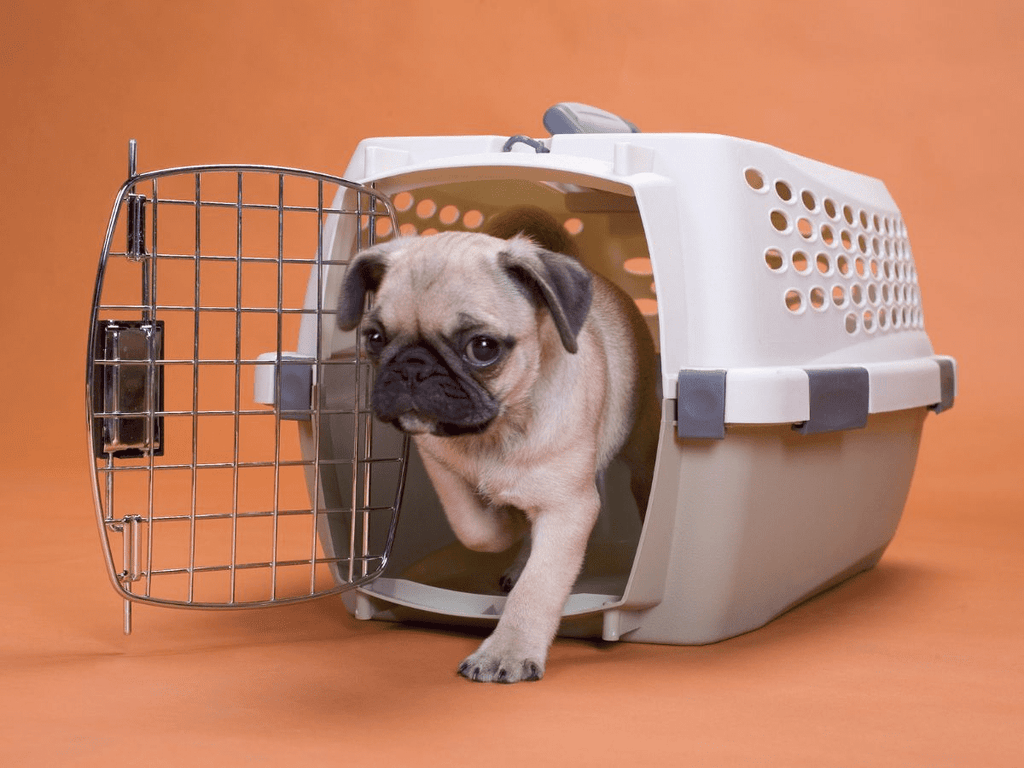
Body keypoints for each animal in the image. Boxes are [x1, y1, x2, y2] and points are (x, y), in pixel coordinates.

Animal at [335, 205, 655, 684]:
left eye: (482, 348)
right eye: (374, 338)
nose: (412, 366)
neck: (494, 431)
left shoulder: (569, 507)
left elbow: (538, 588)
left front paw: (508, 651)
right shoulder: (440, 466)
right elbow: (476, 528)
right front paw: (506, 521)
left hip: (639, 450)